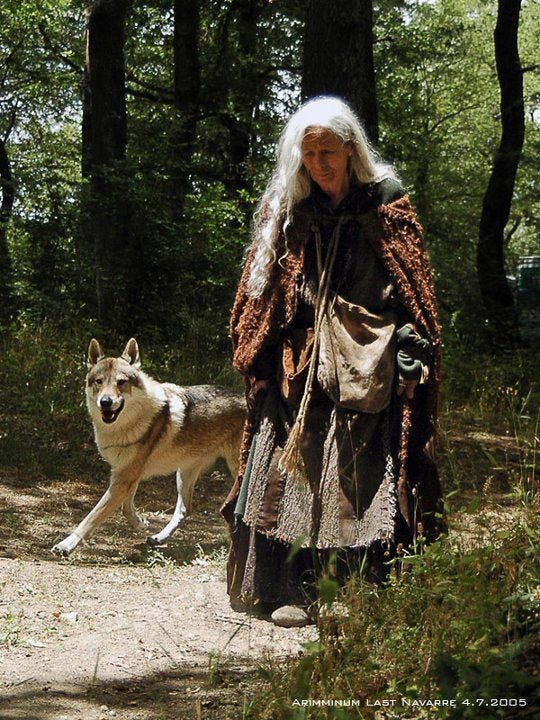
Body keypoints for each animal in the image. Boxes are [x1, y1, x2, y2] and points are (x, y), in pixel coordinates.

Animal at [51, 338, 246, 556]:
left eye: (121, 382)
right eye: (99, 382)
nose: (105, 402)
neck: (126, 425)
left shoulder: (125, 477)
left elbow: (92, 517)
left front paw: (66, 545)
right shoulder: (128, 474)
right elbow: (126, 508)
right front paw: (141, 523)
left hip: (234, 470)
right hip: (183, 474)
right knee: (185, 509)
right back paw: (158, 538)